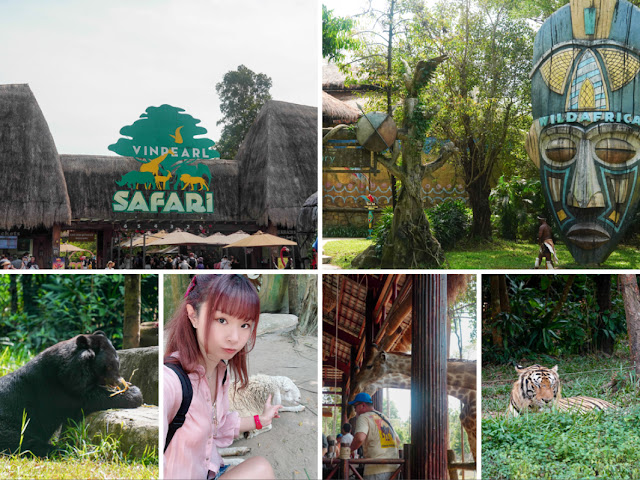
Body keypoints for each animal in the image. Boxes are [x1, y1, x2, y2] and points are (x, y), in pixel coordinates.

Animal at [0, 332, 141, 456]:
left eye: (118, 363)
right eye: (110, 366)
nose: (117, 381)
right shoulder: (60, 388)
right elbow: (92, 397)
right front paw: (134, 393)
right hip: (13, 423)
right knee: (22, 441)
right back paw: (60, 450)